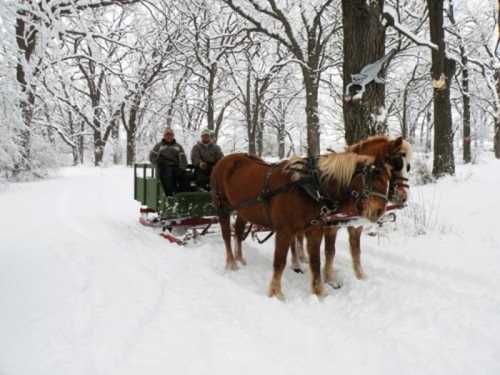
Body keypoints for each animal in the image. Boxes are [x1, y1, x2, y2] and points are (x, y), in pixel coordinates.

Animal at [209, 150, 392, 300]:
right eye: (375, 177)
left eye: (387, 180)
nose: (379, 211)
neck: (310, 186)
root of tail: (224, 160)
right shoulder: (284, 231)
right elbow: (279, 262)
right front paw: (276, 293)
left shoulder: (315, 230)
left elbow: (316, 261)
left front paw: (319, 293)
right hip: (222, 207)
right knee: (226, 235)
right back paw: (231, 263)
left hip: (243, 211)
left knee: (239, 231)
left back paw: (240, 258)